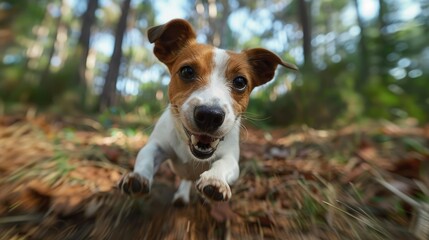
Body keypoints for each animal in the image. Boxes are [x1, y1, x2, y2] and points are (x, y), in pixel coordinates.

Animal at [118, 18, 298, 204]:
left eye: (240, 82)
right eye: (187, 71)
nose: (210, 115)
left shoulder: (230, 158)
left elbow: (223, 164)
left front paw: (215, 180)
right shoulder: (157, 146)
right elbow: (146, 156)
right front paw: (138, 177)